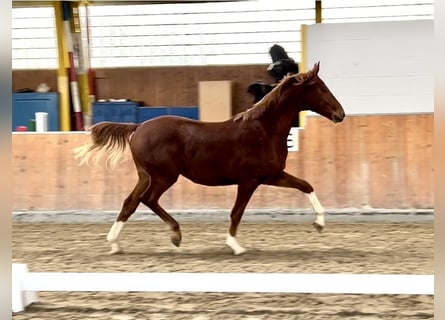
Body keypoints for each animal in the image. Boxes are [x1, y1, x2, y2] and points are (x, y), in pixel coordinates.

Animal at [73, 62, 344, 256]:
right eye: (320, 88)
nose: (340, 114)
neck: (263, 130)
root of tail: (138, 127)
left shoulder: (272, 175)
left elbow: (306, 185)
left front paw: (319, 225)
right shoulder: (249, 180)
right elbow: (236, 212)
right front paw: (235, 246)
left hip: (146, 176)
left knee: (130, 202)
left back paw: (115, 244)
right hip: (163, 177)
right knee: (147, 200)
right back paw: (175, 234)